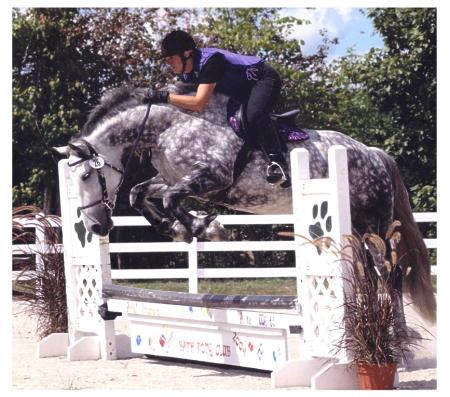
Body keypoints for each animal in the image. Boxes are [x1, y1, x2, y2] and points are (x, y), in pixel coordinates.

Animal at [52, 81, 436, 322]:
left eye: (85, 177)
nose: (96, 226)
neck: (168, 127)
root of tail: (372, 152)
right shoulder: (174, 179)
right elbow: (139, 194)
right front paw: (178, 229)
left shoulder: (212, 179)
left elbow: (173, 200)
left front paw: (208, 228)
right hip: (355, 223)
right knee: (370, 274)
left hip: (378, 219)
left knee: (390, 272)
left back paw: (395, 340)